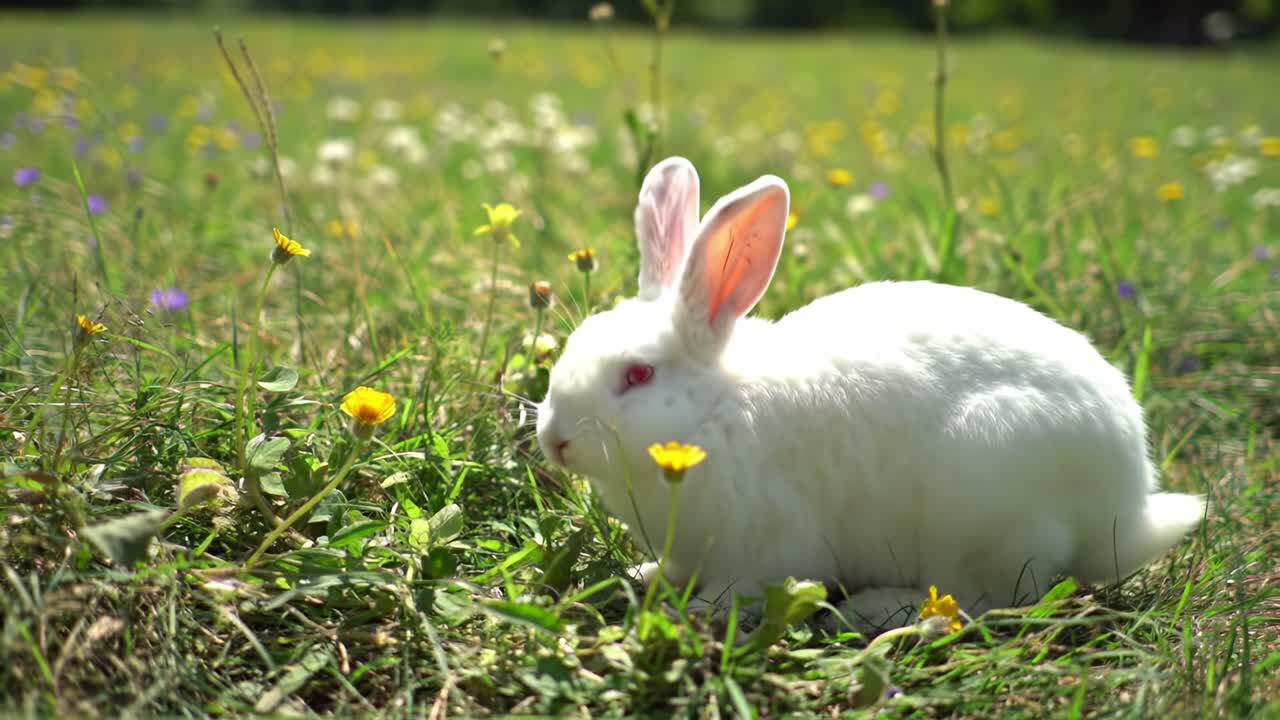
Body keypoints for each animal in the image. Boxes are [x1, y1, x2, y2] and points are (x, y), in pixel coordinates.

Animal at [535, 156, 1205, 631]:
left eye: (638, 376)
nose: (555, 439)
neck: (714, 410)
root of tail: (1126, 508)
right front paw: (642, 572)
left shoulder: (767, 547)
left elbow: (740, 589)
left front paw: (697, 613)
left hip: (980, 504)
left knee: (980, 601)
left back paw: (876, 608)